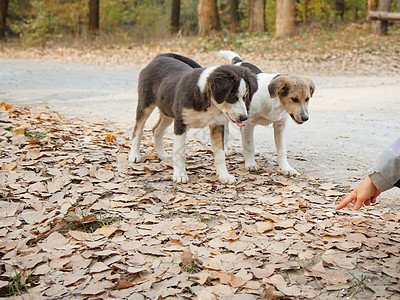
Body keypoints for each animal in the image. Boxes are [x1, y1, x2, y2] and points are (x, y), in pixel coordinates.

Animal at [130, 53, 258, 183]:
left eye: (245, 96)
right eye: (232, 96)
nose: (244, 117)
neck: (208, 100)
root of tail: (159, 57)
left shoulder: (217, 124)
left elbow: (220, 154)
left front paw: (224, 175)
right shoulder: (180, 123)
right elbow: (180, 153)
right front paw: (180, 175)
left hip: (168, 111)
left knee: (156, 130)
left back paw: (162, 155)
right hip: (145, 104)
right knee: (137, 129)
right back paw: (134, 155)